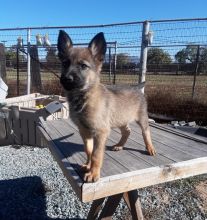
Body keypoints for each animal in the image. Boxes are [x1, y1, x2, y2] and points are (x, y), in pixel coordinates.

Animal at [57, 30, 156, 182]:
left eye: (83, 66)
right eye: (65, 63)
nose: (66, 79)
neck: (84, 97)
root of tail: (136, 87)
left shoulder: (101, 132)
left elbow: (96, 154)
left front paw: (93, 173)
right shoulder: (84, 130)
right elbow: (88, 150)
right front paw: (88, 165)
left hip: (142, 118)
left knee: (146, 132)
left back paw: (150, 148)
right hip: (121, 118)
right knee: (127, 131)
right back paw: (119, 146)